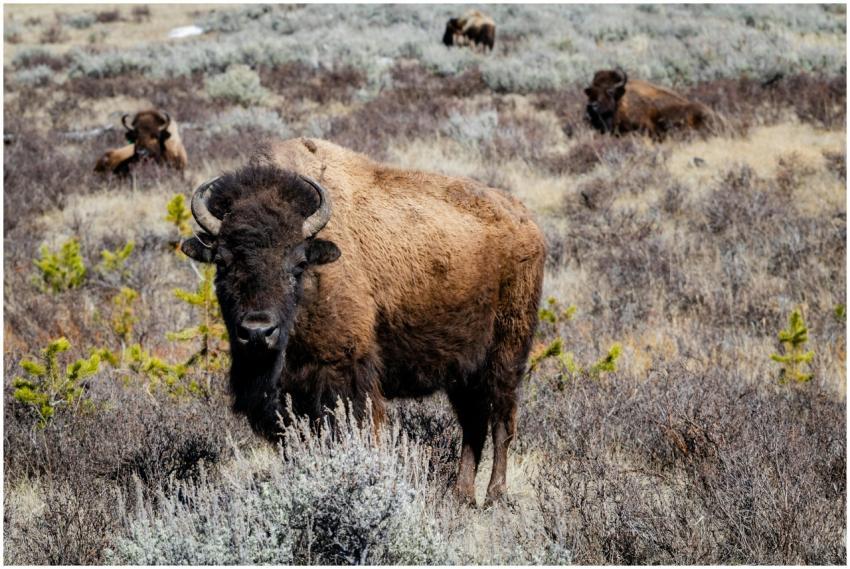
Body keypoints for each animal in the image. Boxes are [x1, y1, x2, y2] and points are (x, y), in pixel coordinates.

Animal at [180, 138, 545, 505]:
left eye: (298, 263)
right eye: (222, 262)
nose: (257, 332)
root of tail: (526, 222)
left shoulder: (344, 377)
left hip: (506, 356)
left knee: (501, 423)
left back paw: (494, 495)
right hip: (463, 371)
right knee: (473, 425)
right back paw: (461, 495)